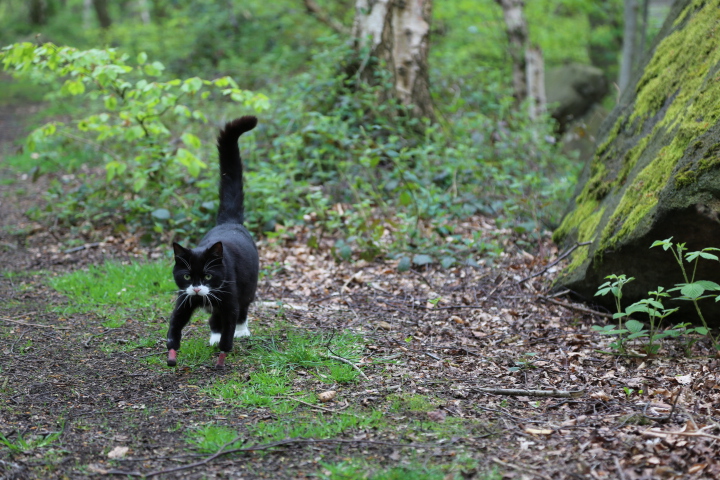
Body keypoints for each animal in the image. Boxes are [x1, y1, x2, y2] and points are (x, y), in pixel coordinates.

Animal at [167, 117, 260, 368]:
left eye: (208, 275)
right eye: (187, 276)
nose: (198, 287)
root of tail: (229, 222)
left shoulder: (229, 297)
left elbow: (231, 319)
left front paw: (224, 350)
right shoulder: (185, 297)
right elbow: (176, 320)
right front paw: (172, 346)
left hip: (248, 284)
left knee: (243, 308)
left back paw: (241, 331)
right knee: (214, 319)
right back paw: (214, 335)